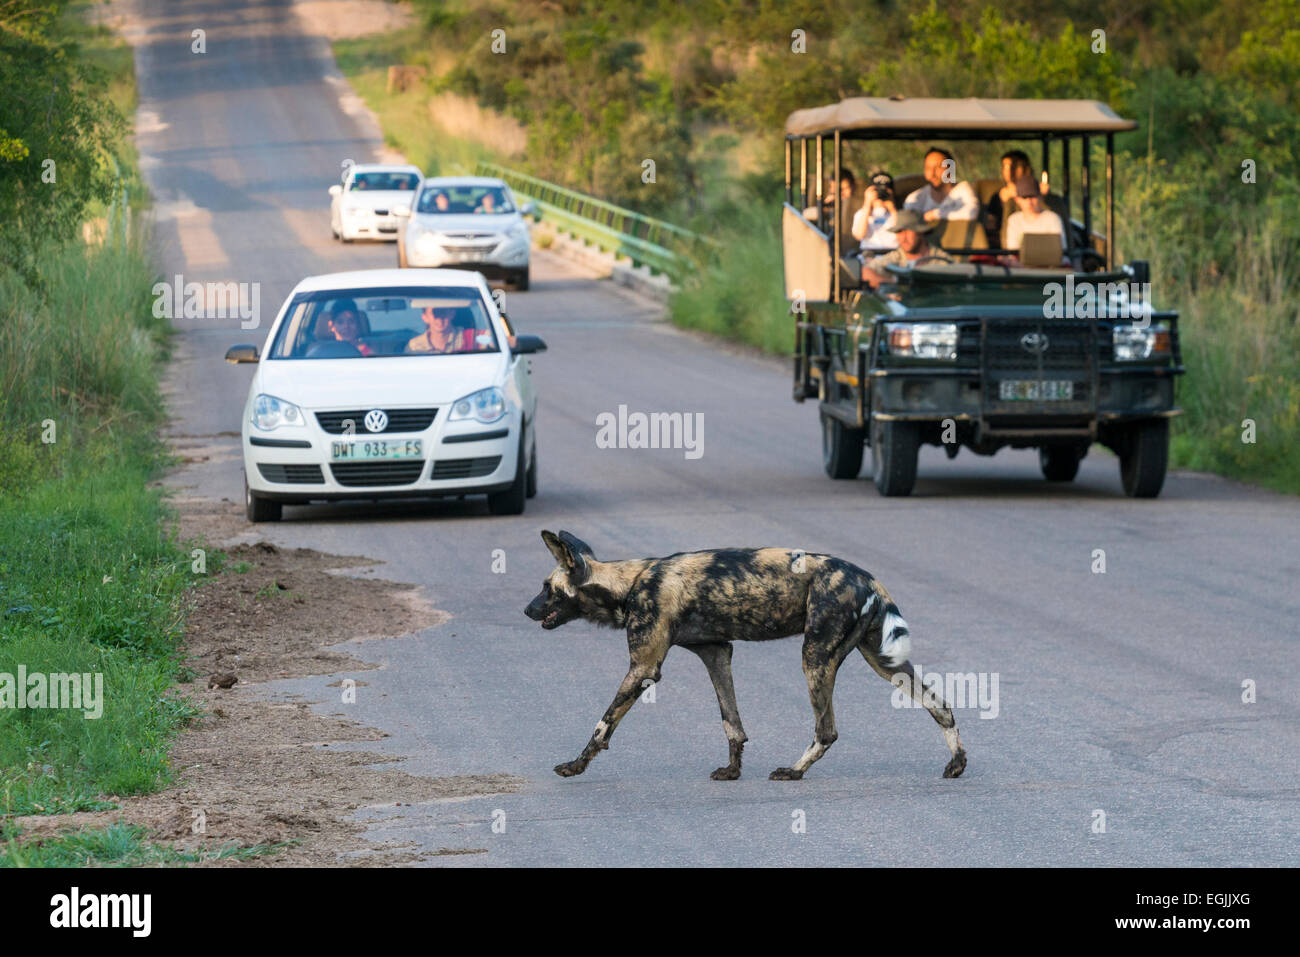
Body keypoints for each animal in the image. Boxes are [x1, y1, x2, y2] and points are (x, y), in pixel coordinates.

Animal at [525, 527, 967, 780]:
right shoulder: (716, 653)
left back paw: (793, 771)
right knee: (940, 705)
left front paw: (575, 766)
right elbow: (731, 722)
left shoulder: (644, 668)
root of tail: (869, 579)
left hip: (815, 658)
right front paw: (733, 770)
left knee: (827, 730)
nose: (526, 610)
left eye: (548, 589)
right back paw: (957, 764)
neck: (630, 583)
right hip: (883, 663)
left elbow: (602, 726)